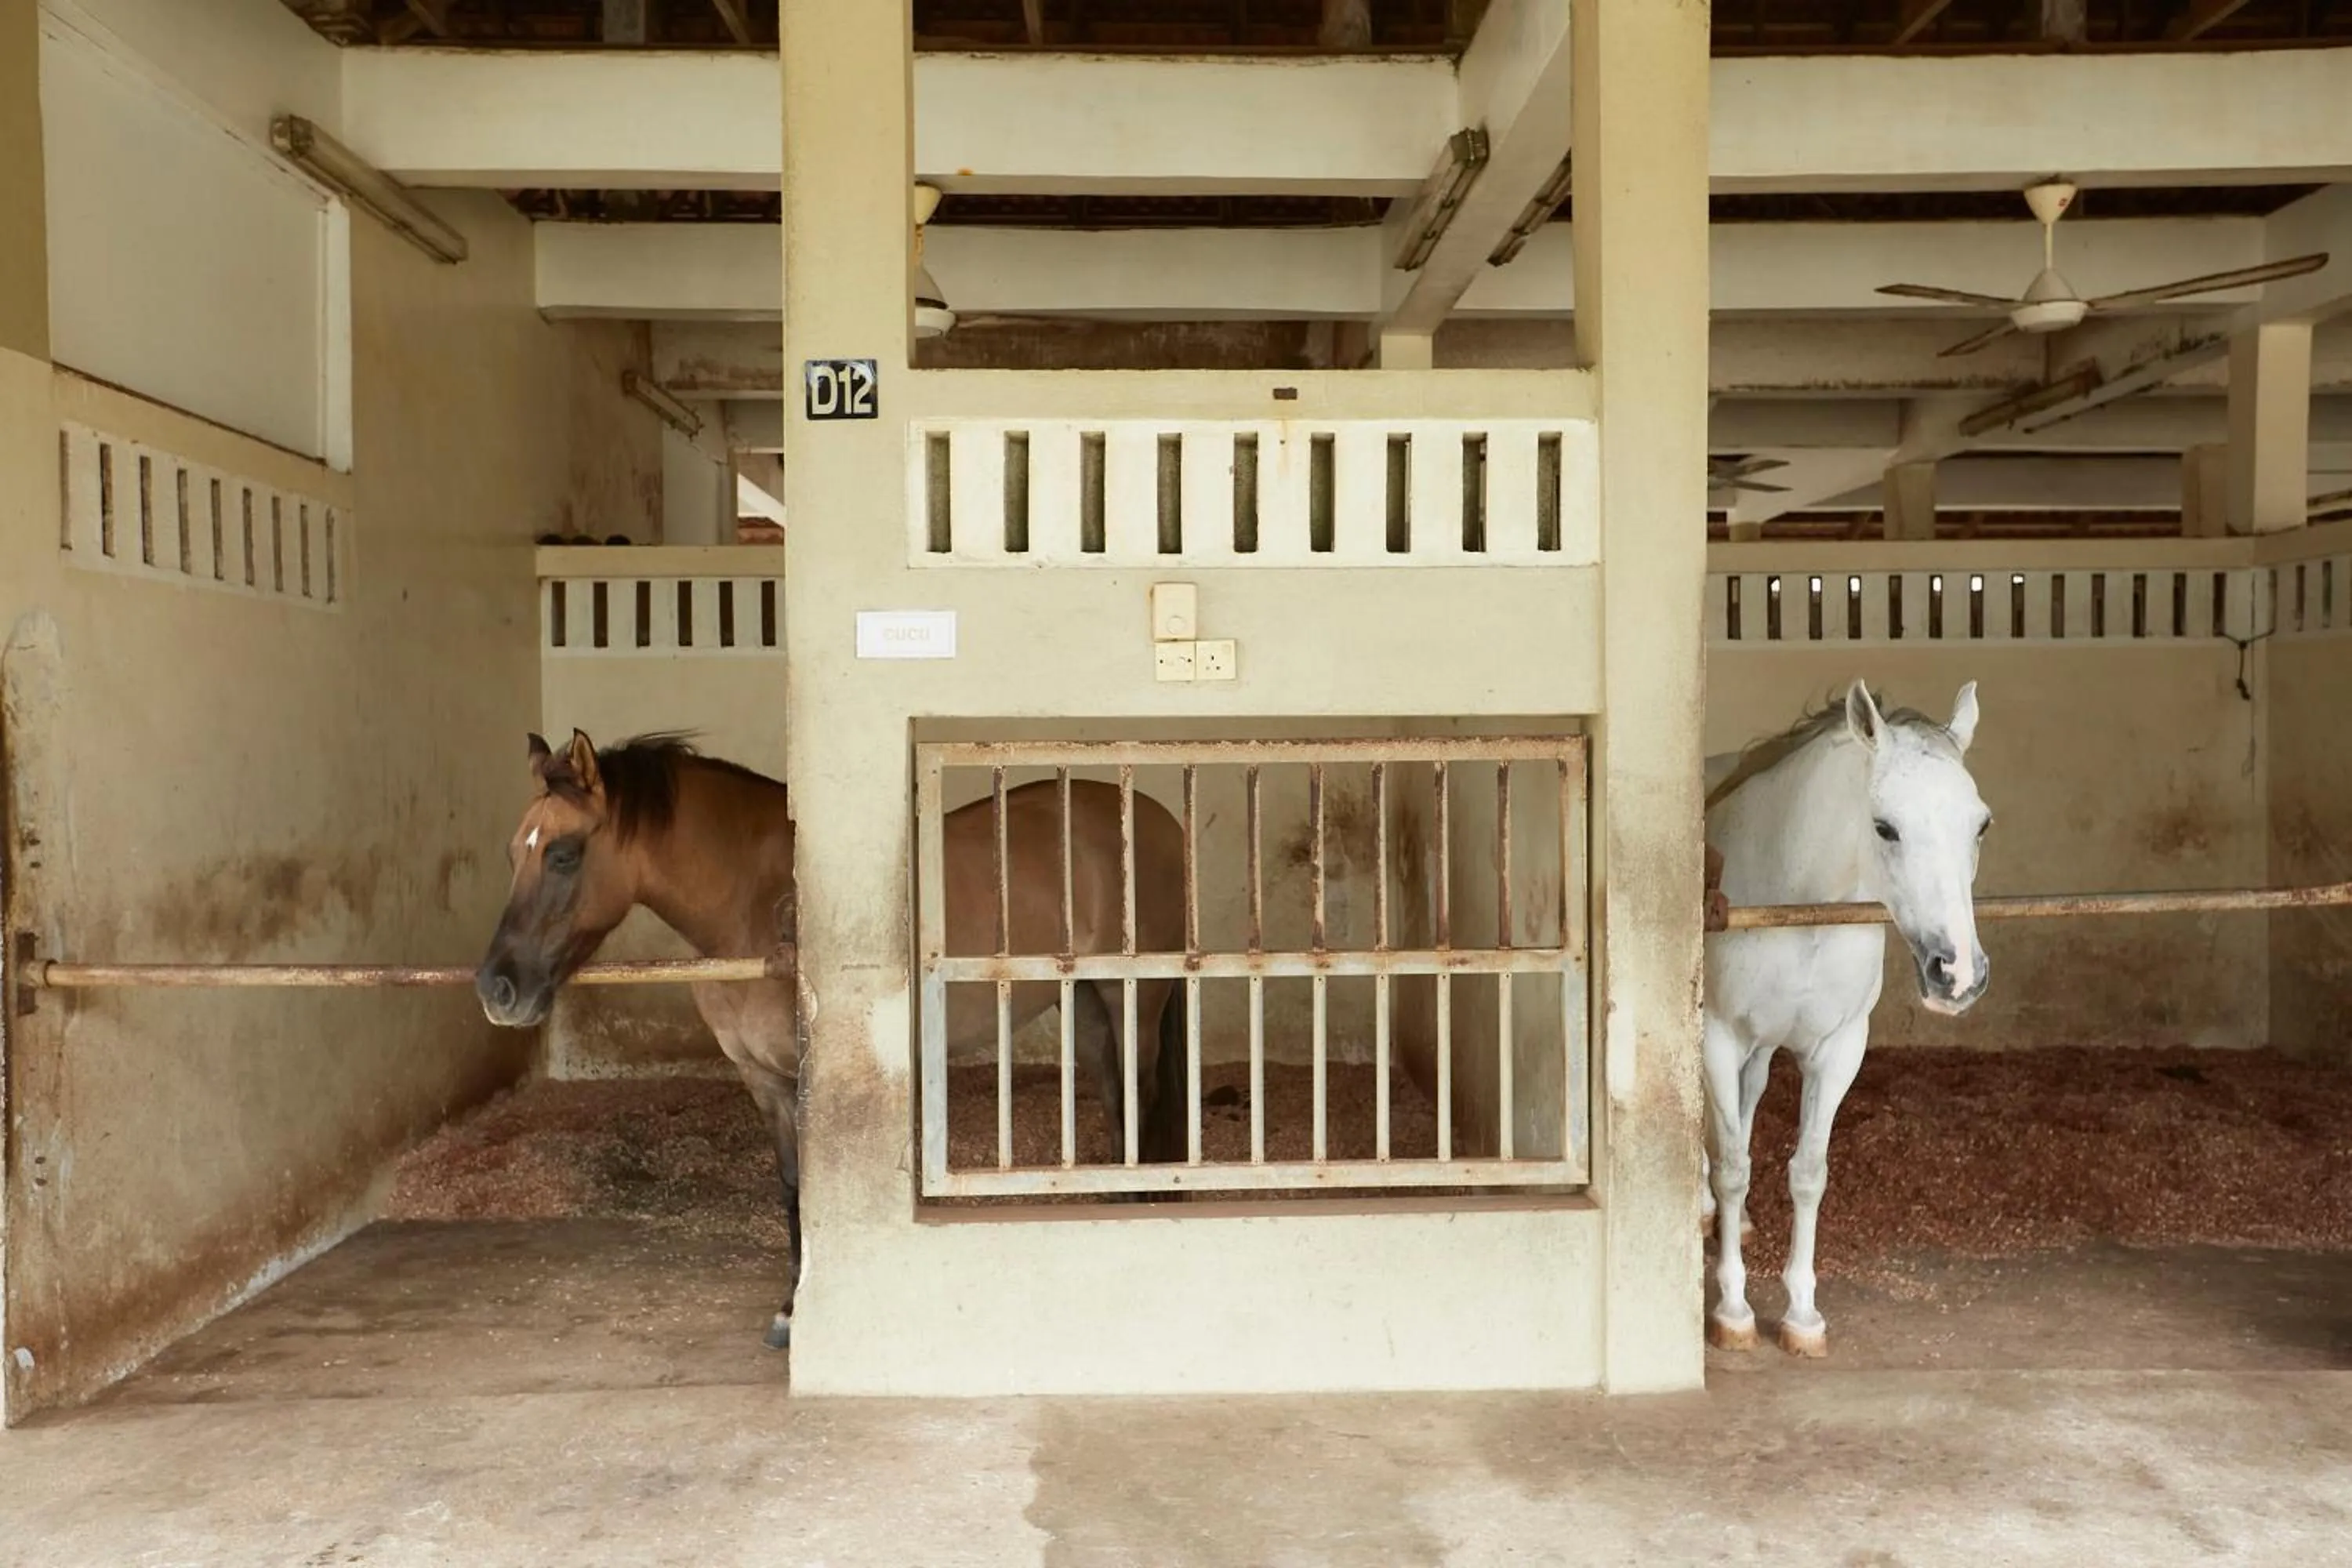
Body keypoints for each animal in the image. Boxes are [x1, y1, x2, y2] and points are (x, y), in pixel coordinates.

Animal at [472, 730, 1190, 1351]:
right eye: (511, 853)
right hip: (1088, 1005)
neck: (757, 907)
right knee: (1119, 1106)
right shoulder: (764, 1081)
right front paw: (792, 1307)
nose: (496, 989)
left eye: (563, 853)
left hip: (1134, 999)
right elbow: (793, 1187)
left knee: (1145, 1104)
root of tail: (1157, 819)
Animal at [1699, 680, 1992, 1358]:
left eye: (1981, 825)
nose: (1957, 973)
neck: (1797, 903)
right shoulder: (1716, 1038)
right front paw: (1733, 1310)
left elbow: (1808, 1173)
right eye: (1885, 827)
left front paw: (1802, 1314)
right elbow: (1732, 1169)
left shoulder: (1838, 1049)